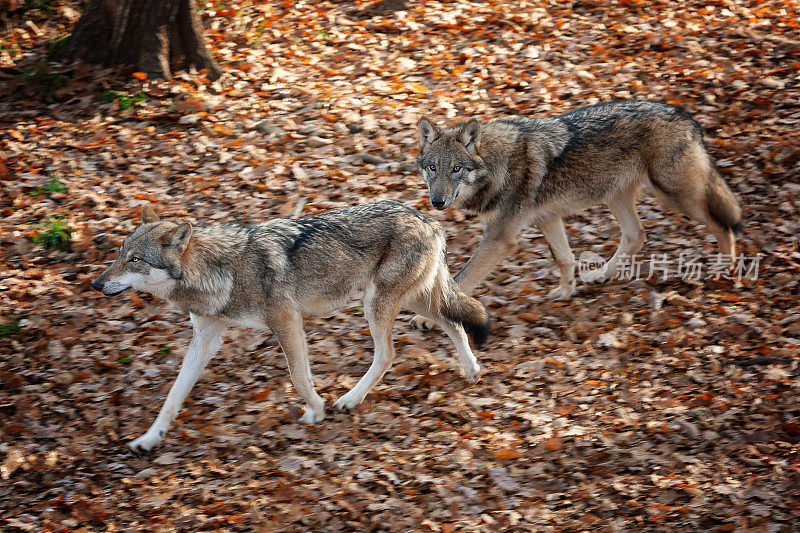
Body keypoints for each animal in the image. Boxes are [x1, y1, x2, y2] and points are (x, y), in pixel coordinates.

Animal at [90, 202, 490, 450]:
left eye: (135, 260)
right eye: (119, 255)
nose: (95, 284)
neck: (221, 271)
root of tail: (429, 220)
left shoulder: (287, 322)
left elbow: (298, 377)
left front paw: (317, 408)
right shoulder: (205, 339)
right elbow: (173, 396)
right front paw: (149, 439)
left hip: (376, 304)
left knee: (390, 352)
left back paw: (349, 399)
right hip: (409, 300)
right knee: (454, 322)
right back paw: (472, 370)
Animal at [416, 97, 740, 304]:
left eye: (456, 169)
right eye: (432, 168)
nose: (437, 202)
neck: (498, 165)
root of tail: (685, 115)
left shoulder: (500, 237)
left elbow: (463, 277)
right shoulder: (546, 217)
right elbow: (564, 257)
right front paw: (566, 292)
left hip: (676, 196)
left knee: (723, 224)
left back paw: (724, 269)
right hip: (616, 196)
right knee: (636, 235)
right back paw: (601, 275)